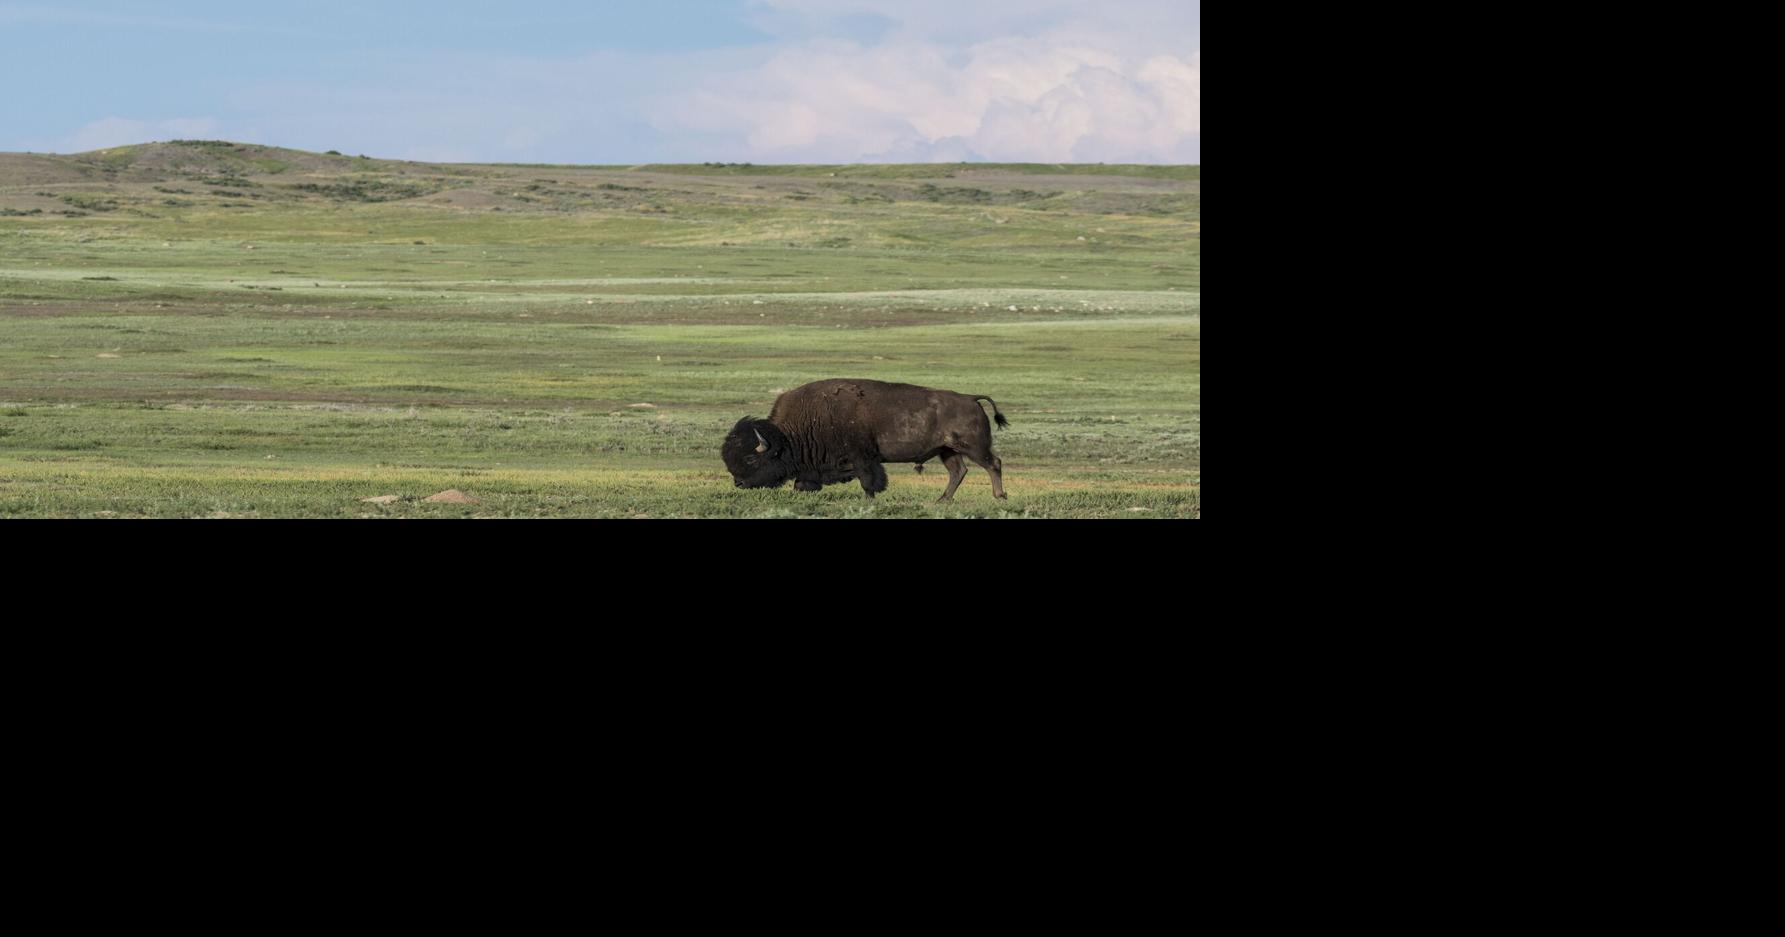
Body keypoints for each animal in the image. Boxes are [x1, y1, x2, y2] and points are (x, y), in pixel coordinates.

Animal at [723, 379, 1010, 501]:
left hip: (973, 447)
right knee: (958, 471)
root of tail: (970, 398)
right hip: (947, 450)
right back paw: (942, 500)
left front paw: (870, 498)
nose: (738, 483)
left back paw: (1000, 496)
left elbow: (868, 480)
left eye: (750, 458)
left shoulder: (862, 457)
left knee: (993, 464)